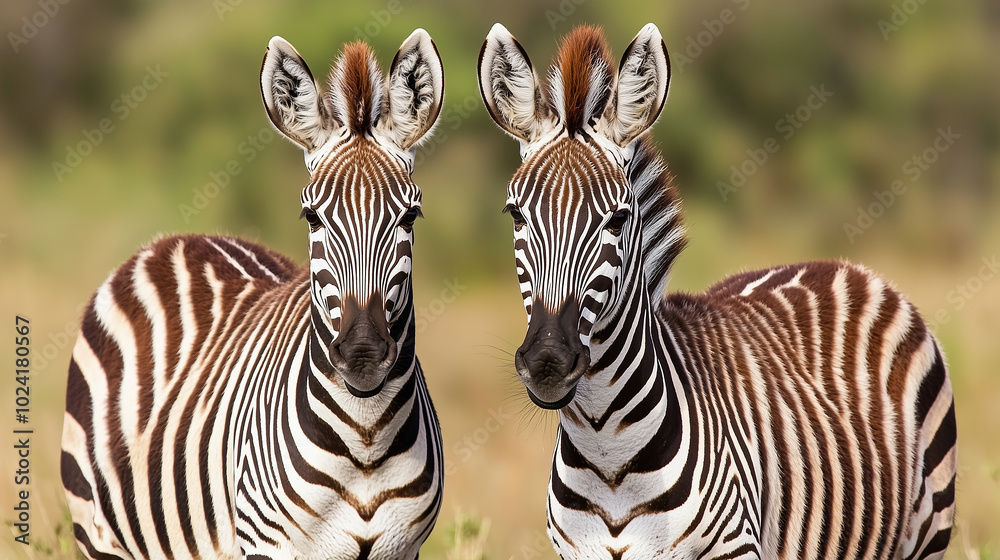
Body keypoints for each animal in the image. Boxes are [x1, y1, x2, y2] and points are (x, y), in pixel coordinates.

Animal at [61, 29, 445, 560]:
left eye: (410, 216)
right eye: (311, 217)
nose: (364, 354)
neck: (366, 441)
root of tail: (175, 241)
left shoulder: (403, 547)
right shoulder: (268, 544)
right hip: (97, 531)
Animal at [477, 22, 956, 560]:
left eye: (618, 220)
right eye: (515, 215)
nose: (547, 362)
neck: (608, 452)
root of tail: (841, 266)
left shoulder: (734, 548)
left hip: (927, 533)